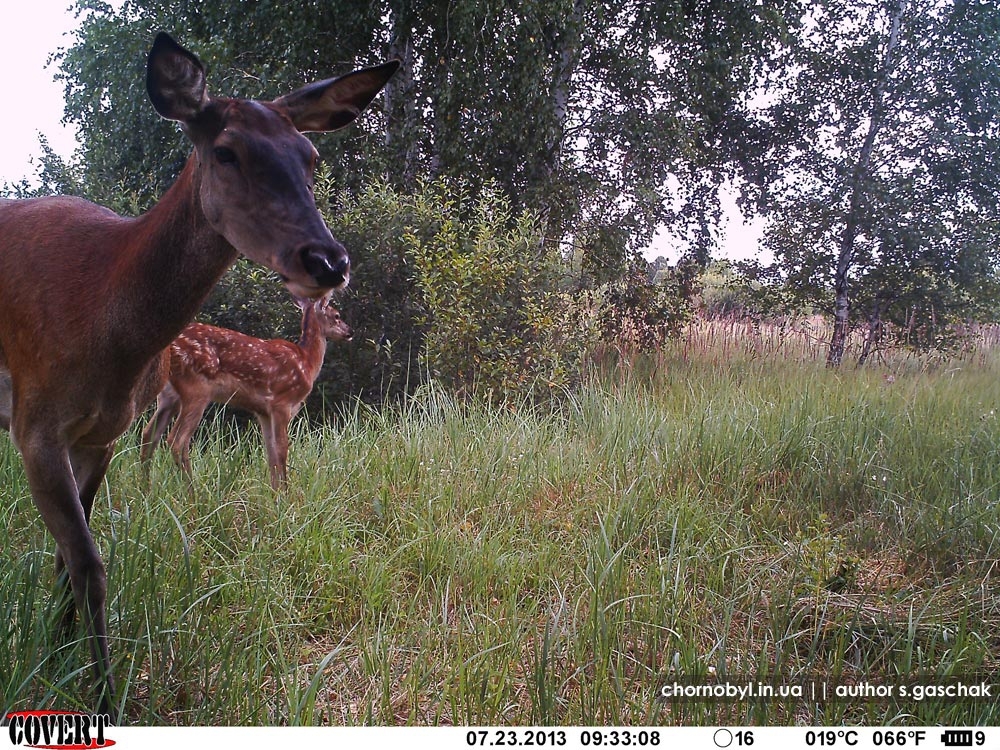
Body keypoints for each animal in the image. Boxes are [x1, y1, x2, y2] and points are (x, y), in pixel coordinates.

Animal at [141, 296, 352, 490]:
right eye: (336, 315)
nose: (350, 332)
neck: (307, 363)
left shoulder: (263, 412)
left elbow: (271, 452)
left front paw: (275, 494)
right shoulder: (282, 403)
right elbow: (282, 449)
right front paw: (285, 494)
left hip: (168, 395)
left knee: (149, 434)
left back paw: (146, 489)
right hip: (196, 389)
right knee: (177, 440)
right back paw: (192, 494)